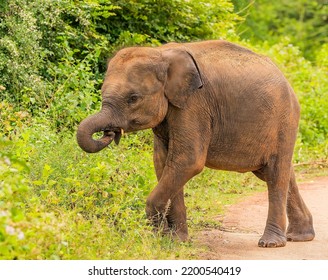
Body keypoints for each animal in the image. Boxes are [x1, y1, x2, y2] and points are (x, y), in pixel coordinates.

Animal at [77, 40, 316, 247]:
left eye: (133, 98)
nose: (110, 132)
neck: (161, 54)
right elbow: (164, 163)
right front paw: (176, 240)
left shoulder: (194, 104)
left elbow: (187, 161)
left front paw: (158, 236)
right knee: (276, 172)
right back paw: (300, 236)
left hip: (284, 120)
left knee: (275, 173)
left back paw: (271, 243)